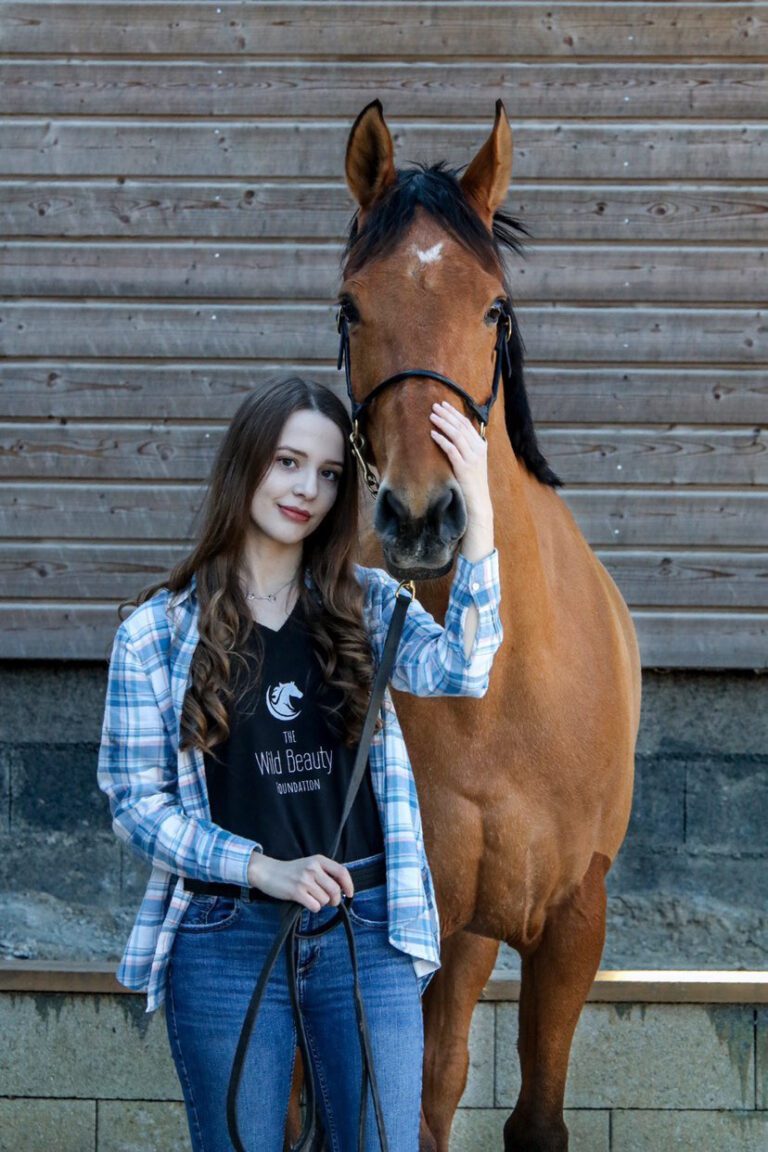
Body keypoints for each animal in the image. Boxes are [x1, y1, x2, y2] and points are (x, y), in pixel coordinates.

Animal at [333, 101, 640, 1152]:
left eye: (494, 310)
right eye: (351, 307)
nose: (425, 518)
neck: (493, 694)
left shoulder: (573, 922)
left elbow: (533, 1116)